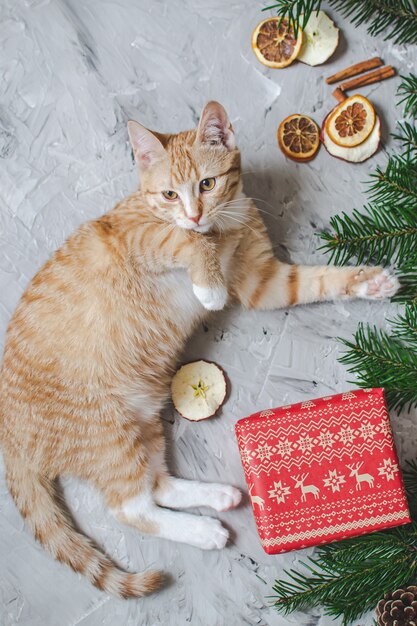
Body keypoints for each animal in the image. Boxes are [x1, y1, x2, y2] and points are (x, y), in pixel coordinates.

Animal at [0, 101, 398, 596]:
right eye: (170, 194)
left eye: (207, 184)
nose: (192, 214)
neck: (221, 227)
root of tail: (10, 434)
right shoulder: (138, 237)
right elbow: (186, 242)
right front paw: (207, 284)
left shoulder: (263, 281)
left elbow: (316, 282)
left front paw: (368, 282)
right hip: (106, 433)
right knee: (130, 508)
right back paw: (204, 530)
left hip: (141, 420)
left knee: (157, 486)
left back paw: (215, 497)